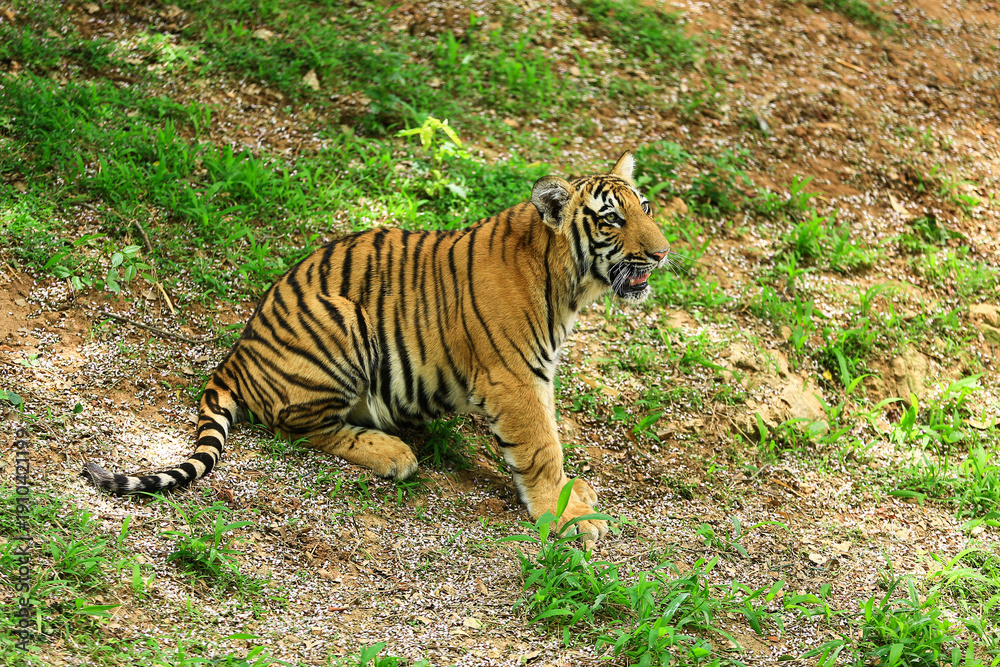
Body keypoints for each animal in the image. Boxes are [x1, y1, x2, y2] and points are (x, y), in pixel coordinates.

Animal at [82, 151, 670, 542]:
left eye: (645, 207)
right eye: (612, 218)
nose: (663, 253)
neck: (569, 284)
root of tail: (236, 355)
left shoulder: (537, 373)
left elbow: (549, 441)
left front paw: (573, 495)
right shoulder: (514, 378)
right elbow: (541, 447)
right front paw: (567, 516)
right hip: (342, 326)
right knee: (300, 426)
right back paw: (394, 453)